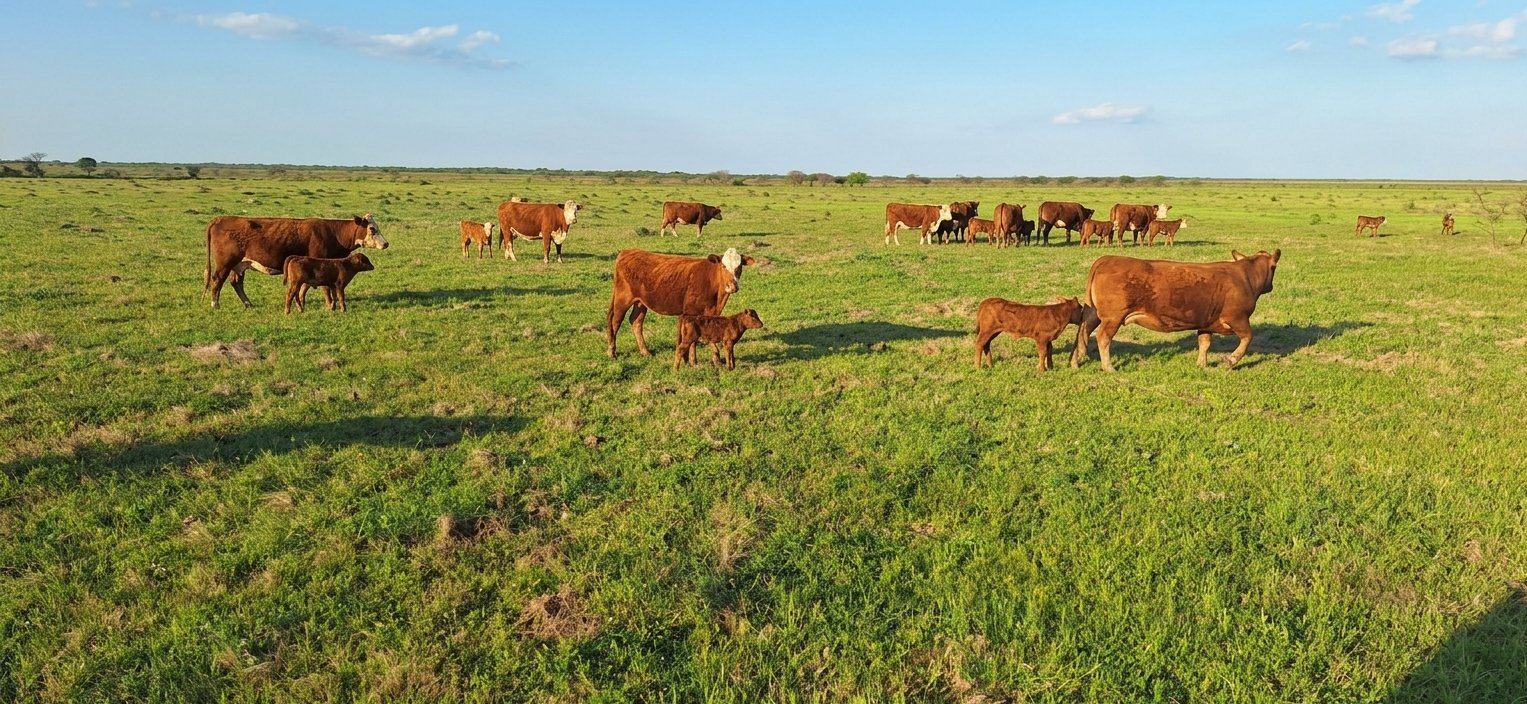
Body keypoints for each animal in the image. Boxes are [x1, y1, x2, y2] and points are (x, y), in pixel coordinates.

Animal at [204, 214, 388, 309]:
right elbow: (324, 288)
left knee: (236, 283)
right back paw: (215, 304)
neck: (332, 233)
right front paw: (330, 305)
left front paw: (301, 303)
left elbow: (305, 286)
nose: (386, 243)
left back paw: (248, 303)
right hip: (225, 263)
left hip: (238, 265)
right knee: (217, 280)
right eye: (372, 229)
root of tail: (220, 218)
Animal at [607, 248, 757, 358]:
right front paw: (692, 361)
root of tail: (627, 251)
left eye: (739, 267)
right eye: (723, 266)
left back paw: (645, 352)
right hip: (622, 298)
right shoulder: (691, 312)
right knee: (615, 322)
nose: (733, 286)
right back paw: (611, 352)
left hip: (640, 302)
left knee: (636, 321)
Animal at [1072, 249, 1282, 372]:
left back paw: (1075, 361)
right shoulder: (1238, 318)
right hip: (1112, 318)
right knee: (1102, 338)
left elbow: (1204, 343)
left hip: (1093, 313)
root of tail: (1106, 259)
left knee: (1083, 332)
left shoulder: (1206, 322)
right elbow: (1248, 338)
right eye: (1274, 267)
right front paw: (1231, 360)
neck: (1244, 277)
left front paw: (1201, 364)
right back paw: (1108, 368)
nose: (1271, 286)